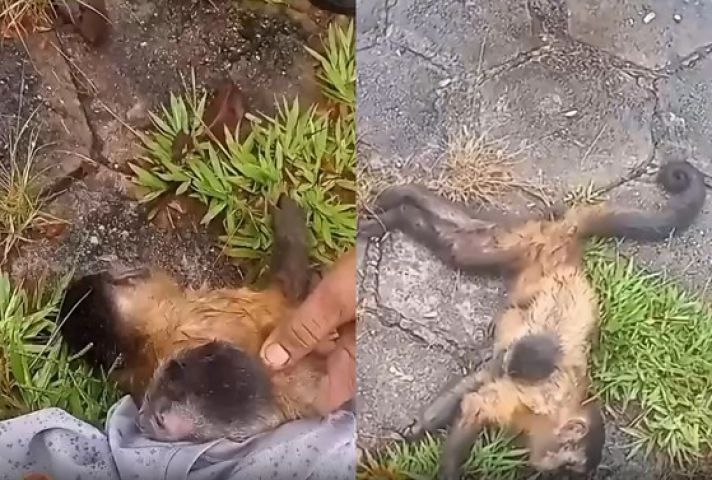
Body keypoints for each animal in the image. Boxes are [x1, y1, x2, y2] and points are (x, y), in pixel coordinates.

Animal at [358, 160, 706, 479]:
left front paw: (414, 429)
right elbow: (478, 403)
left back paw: (395, 215)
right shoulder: (538, 401)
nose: (551, 473)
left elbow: (475, 384)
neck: (557, 414)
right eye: (567, 466)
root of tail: (570, 248)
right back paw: (403, 198)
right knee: (466, 249)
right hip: (531, 241)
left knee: (460, 241)